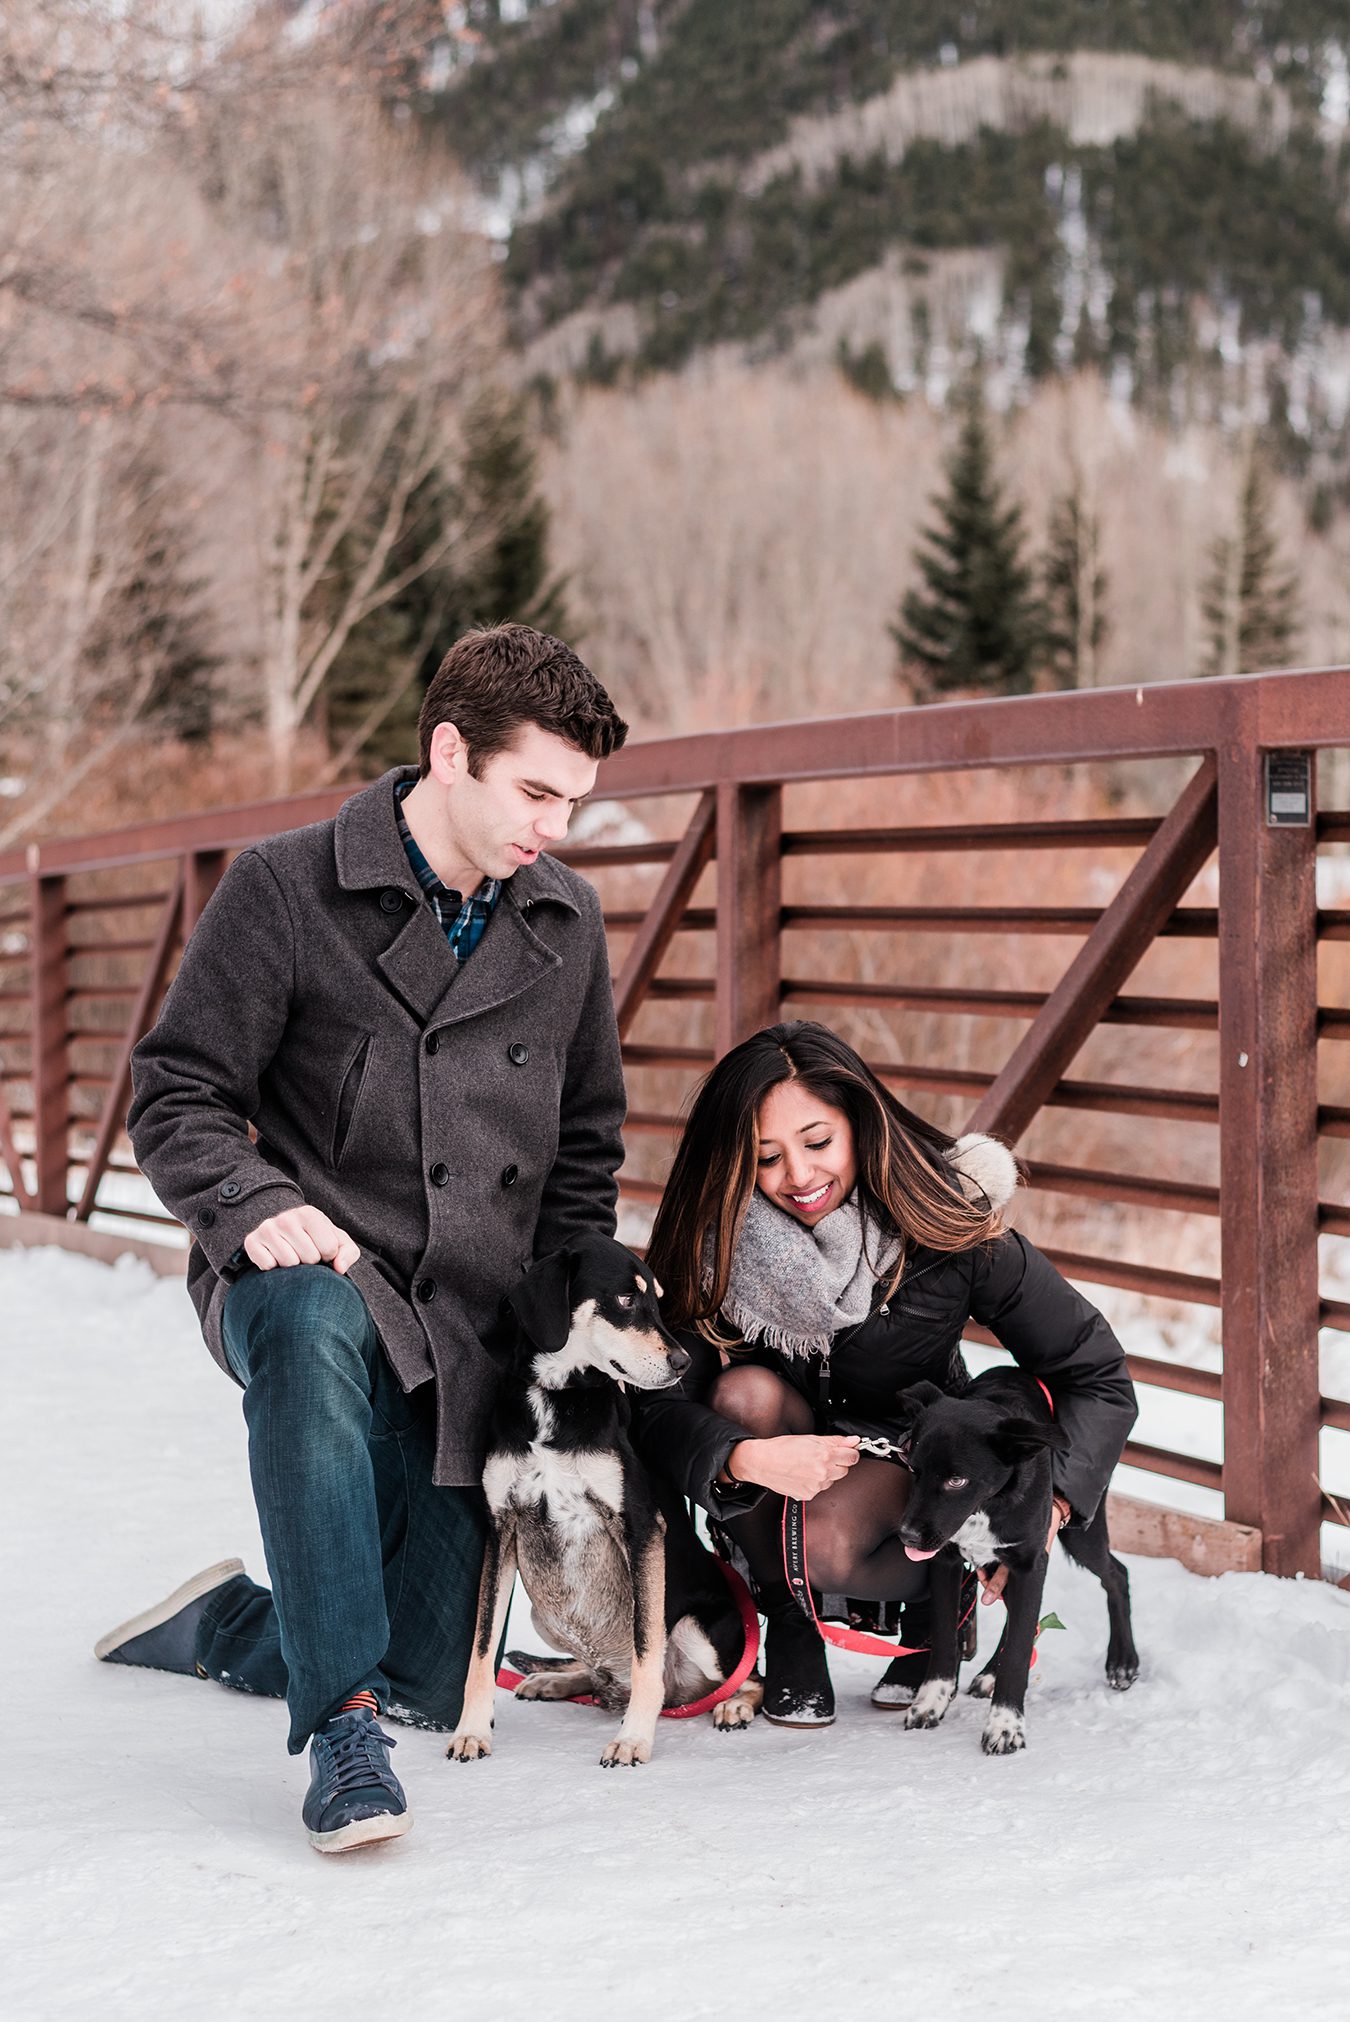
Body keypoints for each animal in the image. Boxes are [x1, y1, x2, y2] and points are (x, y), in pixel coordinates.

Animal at [450, 1221, 759, 1763]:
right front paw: (472, 1730)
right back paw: (558, 1681)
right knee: (599, 1677)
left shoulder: (641, 1528)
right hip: (545, 1613)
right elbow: (481, 1648)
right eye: (625, 1298)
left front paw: (633, 1740)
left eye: (657, 1301)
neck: (556, 1397)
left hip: (699, 1630)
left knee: (747, 1679)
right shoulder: (500, 1530)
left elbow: (646, 1650)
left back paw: (732, 1704)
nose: (682, 1361)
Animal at [897, 1374, 1139, 1755]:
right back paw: (989, 1674)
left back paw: (1123, 1662)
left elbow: (1019, 1650)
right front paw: (931, 1701)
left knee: (1117, 1573)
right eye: (913, 1469)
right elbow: (945, 1636)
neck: (987, 1504)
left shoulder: (1030, 1563)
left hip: (1081, 1531)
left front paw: (1005, 1725)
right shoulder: (947, 1561)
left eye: (956, 1480)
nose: (906, 1536)